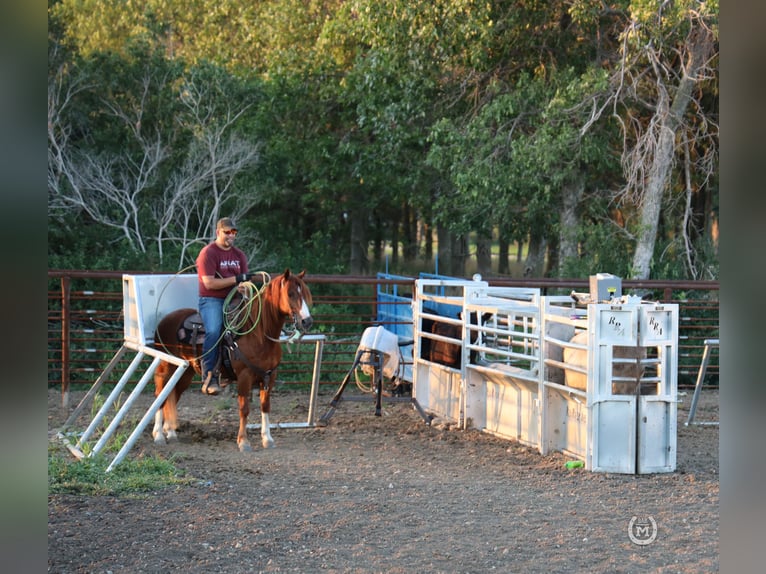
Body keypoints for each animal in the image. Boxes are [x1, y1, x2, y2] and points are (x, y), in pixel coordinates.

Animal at [152, 270, 314, 454]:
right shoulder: (244, 376)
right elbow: (244, 409)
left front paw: (267, 439)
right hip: (167, 366)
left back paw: (171, 433)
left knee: (172, 394)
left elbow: (265, 406)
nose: (307, 321)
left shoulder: (269, 376)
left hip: (186, 372)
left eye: (305, 294)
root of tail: (165, 320)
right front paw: (243, 442)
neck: (259, 334)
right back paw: (158, 435)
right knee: (160, 394)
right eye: (290, 293)